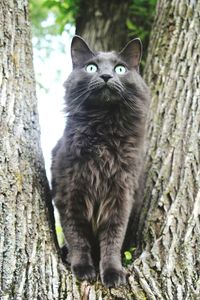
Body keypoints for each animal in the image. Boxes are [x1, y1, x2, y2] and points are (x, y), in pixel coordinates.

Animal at [51, 34, 150, 288]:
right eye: (92, 68)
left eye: (120, 69)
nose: (106, 76)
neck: (103, 130)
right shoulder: (69, 195)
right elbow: (77, 238)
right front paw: (83, 268)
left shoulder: (121, 198)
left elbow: (112, 241)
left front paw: (113, 273)